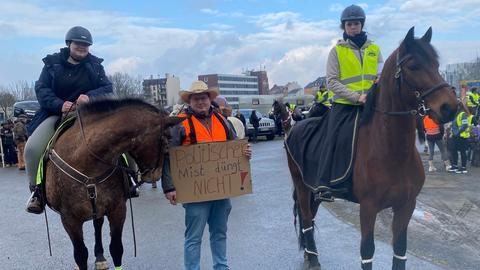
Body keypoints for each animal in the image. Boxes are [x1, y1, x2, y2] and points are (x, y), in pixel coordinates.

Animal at [44, 98, 183, 270]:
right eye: (168, 138)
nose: (155, 175)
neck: (87, 163)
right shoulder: (69, 219)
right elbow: (80, 254)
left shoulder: (117, 210)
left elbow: (116, 248)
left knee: (97, 225)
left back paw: (100, 257)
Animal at [284, 25, 458, 270]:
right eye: (413, 66)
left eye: (436, 64)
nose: (451, 107)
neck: (393, 152)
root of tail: (295, 127)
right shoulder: (368, 207)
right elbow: (367, 251)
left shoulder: (406, 206)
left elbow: (400, 251)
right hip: (301, 186)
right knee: (307, 218)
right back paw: (314, 260)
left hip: (312, 190)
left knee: (310, 215)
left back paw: (310, 255)